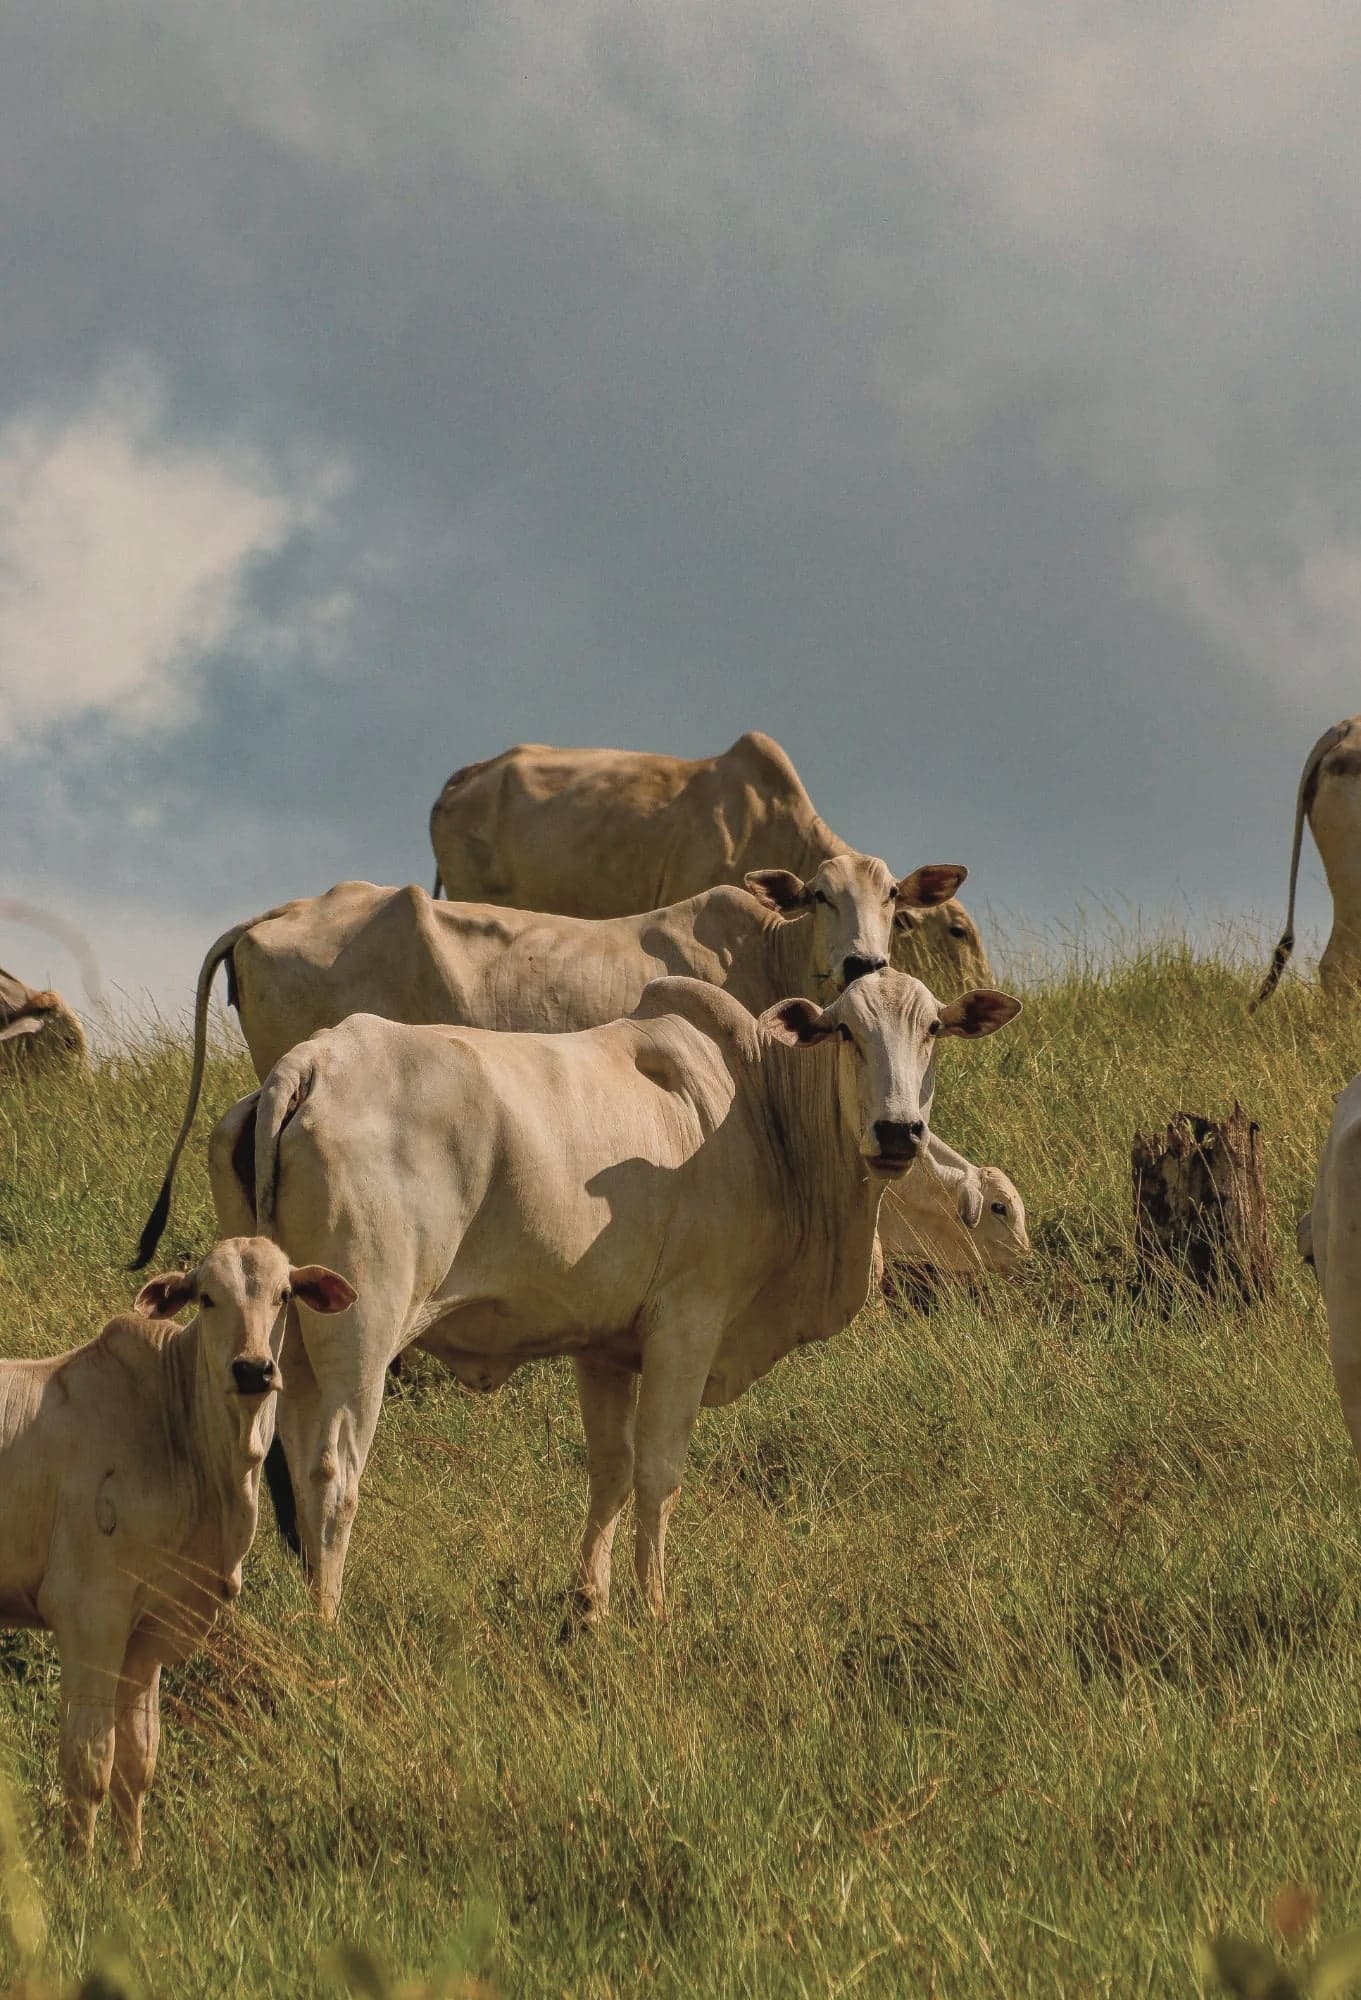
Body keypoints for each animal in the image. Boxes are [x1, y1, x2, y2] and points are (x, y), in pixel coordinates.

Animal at [0, 1239, 355, 1862]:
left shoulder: (149, 1632)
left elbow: (137, 1763)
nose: (253, 1368)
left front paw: (133, 1870)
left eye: (284, 1294)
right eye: (207, 1298)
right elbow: (89, 1765)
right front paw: (83, 1874)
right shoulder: (90, 1614)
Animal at [208, 968, 1020, 1623]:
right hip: (361, 1332)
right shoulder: (687, 1323)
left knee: (280, 1460)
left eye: (934, 1029)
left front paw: (590, 1603)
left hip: (283, 1335)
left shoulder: (602, 1346)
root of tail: (313, 1061)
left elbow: (611, 1471)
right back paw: (327, 1620)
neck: (762, 1112)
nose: (898, 1131)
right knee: (333, 1471)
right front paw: (654, 1608)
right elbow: (658, 1473)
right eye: (846, 1030)